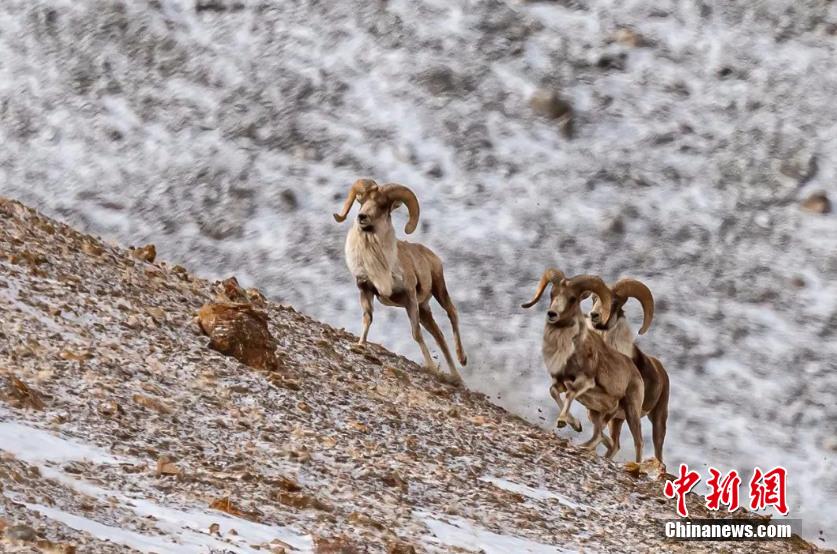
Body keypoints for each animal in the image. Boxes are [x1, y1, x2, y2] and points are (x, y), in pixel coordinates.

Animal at [334, 179, 466, 382]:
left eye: (382, 205)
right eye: (361, 201)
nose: (362, 217)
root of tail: (432, 256)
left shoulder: (409, 297)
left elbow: (416, 334)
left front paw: (431, 369)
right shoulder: (365, 289)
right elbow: (367, 319)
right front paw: (360, 345)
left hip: (438, 290)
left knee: (452, 313)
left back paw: (462, 360)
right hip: (424, 310)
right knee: (439, 335)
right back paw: (455, 376)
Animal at [520, 268, 644, 462]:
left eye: (572, 298)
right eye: (552, 293)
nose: (552, 314)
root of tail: (636, 373)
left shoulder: (584, 381)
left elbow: (570, 394)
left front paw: (561, 421)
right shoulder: (560, 381)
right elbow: (553, 392)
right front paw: (575, 425)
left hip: (631, 412)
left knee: (637, 441)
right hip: (597, 413)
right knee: (602, 436)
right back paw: (584, 446)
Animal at [584, 276, 668, 462]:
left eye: (614, 302)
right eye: (594, 298)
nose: (594, 315)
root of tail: (661, 370)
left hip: (656, 418)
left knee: (647, 446)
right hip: (618, 420)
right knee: (617, 444)